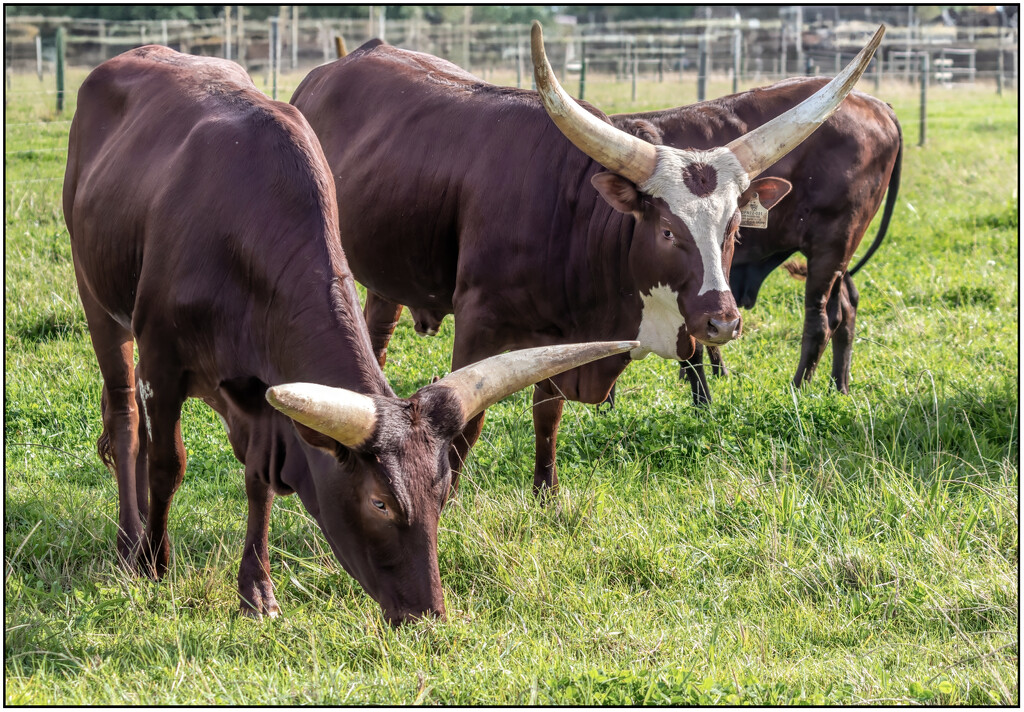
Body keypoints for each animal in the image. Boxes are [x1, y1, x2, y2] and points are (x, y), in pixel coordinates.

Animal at [61, 45, 630, 622]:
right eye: (380, 501)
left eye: (443, 494)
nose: (427, 615)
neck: (241, 233)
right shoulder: (163, 363)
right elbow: (166, 463)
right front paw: (155, 563)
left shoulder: (268, 399)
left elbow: (259, 481)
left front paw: (257, 590)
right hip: (97, 300)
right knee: (125, 416)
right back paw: (130, 541)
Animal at [610, 78, 901, 403]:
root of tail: (877, 105)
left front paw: (702, 402)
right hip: (839, 258)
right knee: (846, 310)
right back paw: (839, 386)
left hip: (831, 248)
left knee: (822, 322)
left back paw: (797, 389)